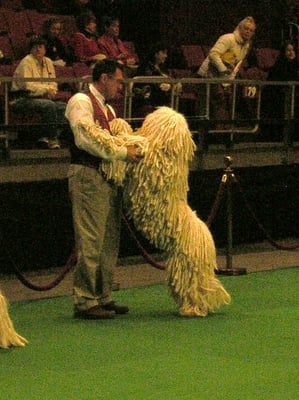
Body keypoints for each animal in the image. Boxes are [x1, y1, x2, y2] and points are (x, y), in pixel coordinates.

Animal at [78, 105, 231, 316]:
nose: (148, 116)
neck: (166, 152)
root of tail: (207, 240)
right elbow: (128, 138)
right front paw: (119, 123)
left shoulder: (139, 161)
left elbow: (118, 146)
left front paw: (90, 126)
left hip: (187, 265)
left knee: (195, 289)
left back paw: (193, 310)